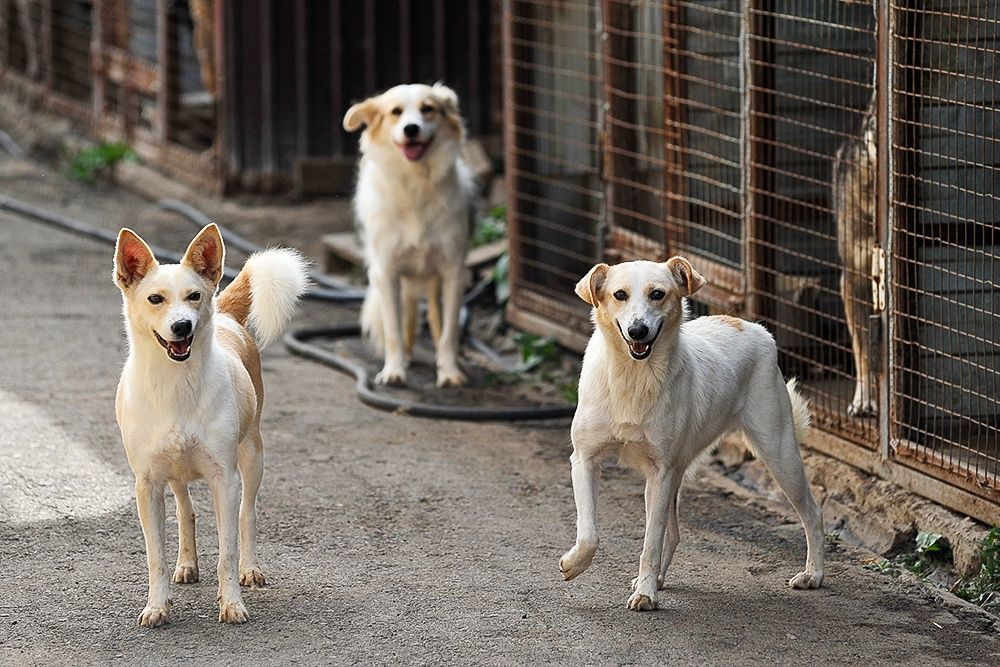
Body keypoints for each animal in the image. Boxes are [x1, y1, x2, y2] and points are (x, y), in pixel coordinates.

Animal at [114, 223, 308, 628]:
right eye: (155, 299)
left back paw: (251, 568)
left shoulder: (224, 478)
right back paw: (187, 564)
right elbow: (155, 557)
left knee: (247, 514)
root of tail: (229, 318)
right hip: (175, 473)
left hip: (253, 456)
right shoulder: (147, 484)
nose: (182, 326)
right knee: (185, 511)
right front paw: (157, 606)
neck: (176, 383)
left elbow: (227, 551)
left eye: (194, 296)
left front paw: (232, 603)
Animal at [342, 83, 474, 388]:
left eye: (428, 109)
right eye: (396, 112)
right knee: (408, 312)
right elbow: (394, 330)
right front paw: (394, 370)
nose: (411, 129)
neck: (416, 184)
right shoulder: (387, 272)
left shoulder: (453, 272)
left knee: (435, 317)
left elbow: (449, 331)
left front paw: (449, 371)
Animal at [560, 258, 824, 612]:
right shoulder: (585, 460)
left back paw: (813, 574)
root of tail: (753, 327)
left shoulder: (659, 473)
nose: (638, 331)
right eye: (619, 295)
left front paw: (645, 594)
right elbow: (589, 534)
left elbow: (650, 543)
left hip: (778, 454)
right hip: (679, 473)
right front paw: (574, 564)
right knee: (672, 533)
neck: (633, 376)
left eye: (657, 294)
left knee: (812, 512)